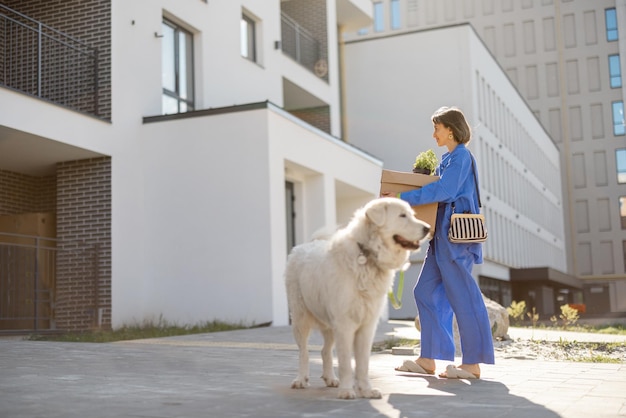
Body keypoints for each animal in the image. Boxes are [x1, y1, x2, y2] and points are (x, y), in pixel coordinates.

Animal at [282, 198, 428, 400]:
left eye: (412, 215)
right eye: (402, 215)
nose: (428, 228)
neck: (367, 256)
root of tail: (303, 246)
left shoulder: (366, 326)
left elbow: (363, 363)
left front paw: (366, 390)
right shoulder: (345, 324)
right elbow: (345, 362)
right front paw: (346, 390)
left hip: (329, 325)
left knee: (325, 351)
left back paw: (330, 379)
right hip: (301, 319)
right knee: (303, 352)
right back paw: (301, 379)